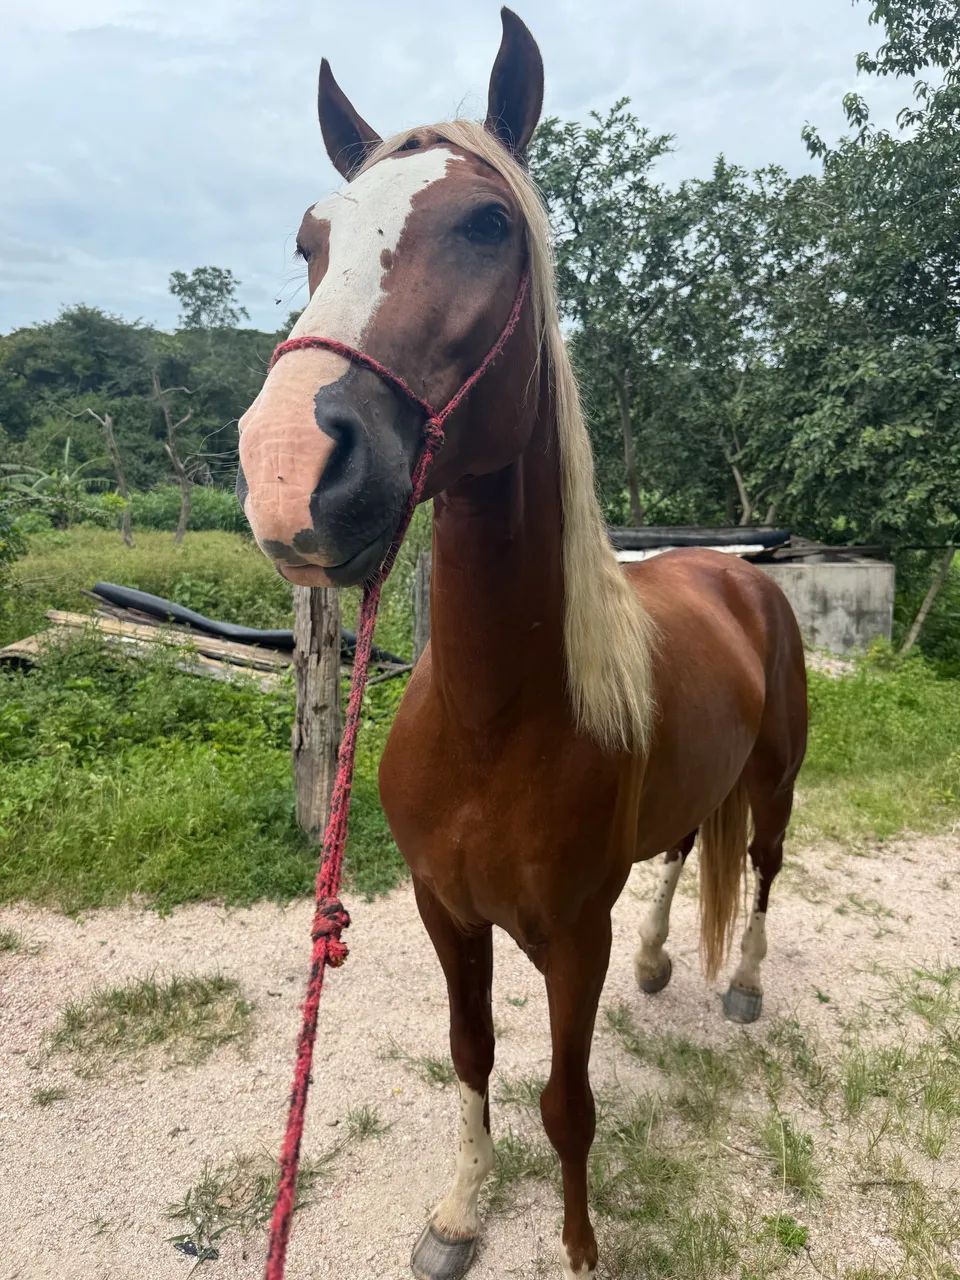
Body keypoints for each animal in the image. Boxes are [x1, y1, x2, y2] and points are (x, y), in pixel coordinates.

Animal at [237, 10, 809, 1278]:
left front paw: (583, 1244)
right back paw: (661, 959)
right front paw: (459, 1210)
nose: (288, 465)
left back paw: (742, 984)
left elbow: (566, 1100)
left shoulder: (570, 939)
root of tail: (737, 570)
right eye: (310, 240)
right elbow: (473, 1058)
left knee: (759, 867)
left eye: (488, 223)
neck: (496, 721)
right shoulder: (448, 916)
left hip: (778, 777)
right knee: (685, 847)